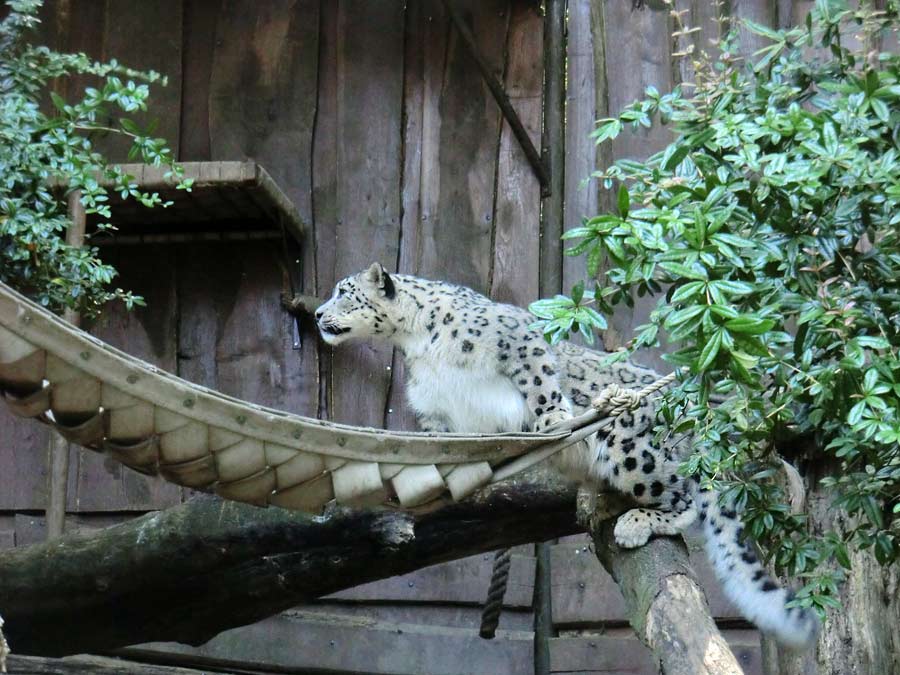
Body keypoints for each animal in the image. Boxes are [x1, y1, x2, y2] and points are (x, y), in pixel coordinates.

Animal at [316, 262, 824, 648]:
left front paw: (552, 418)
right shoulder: (438, 413)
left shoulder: (517, 336)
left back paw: (639, 521)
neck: (417, 344)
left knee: (686, 494)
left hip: (631, 448)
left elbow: (540, 378)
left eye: (344, 292)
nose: (319, 312)